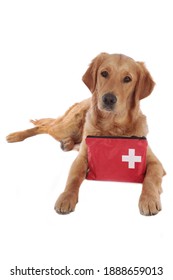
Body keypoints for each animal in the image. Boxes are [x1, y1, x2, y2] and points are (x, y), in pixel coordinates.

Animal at [6, 53, 164, 215]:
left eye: (127, 79)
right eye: (104, 73)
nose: (108, 99)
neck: (112, 126)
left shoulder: (155, 162)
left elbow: (150, 179)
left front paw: (149, 199)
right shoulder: (82, 158)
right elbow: (74, 178)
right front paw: (66, 197)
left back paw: (66, 143)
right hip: (65, 127)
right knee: (43, 127)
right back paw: (16, 135)